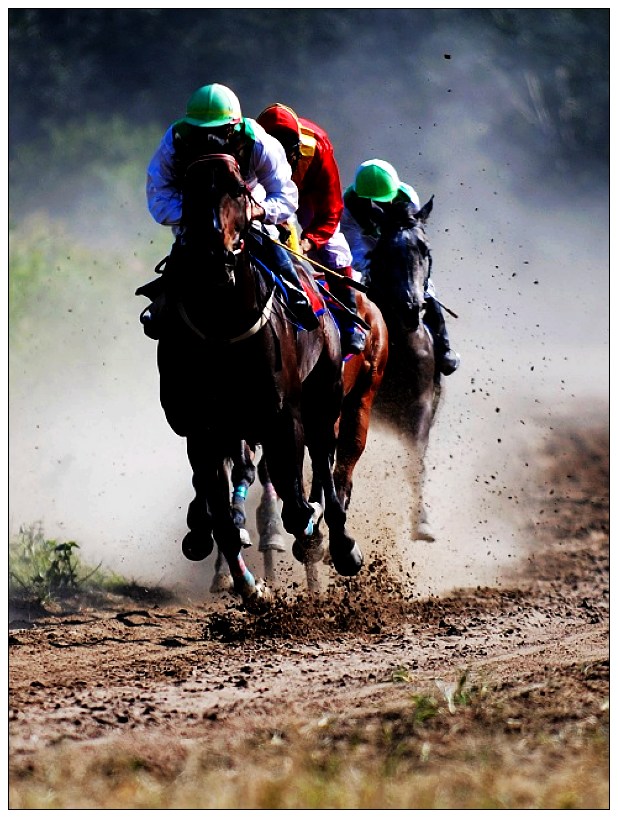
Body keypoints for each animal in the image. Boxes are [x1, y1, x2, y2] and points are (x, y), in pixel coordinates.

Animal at [154, 153, 364, 600]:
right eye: (190, 191)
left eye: (238, 190)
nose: (214, 254)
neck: (224, 326)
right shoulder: (203, 428)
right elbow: (221, 514)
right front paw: (251, 588)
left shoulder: (283, 418)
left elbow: (297, 504)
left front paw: (309, 536)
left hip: (325, 398)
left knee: (325, 462)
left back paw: (338, 543)